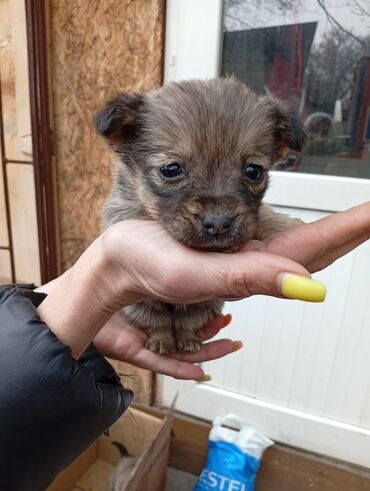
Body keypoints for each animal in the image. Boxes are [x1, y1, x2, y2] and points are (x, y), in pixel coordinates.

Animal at [94, 76, 304, 354]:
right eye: (171, 169)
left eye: (254, 171)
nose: (218, 225)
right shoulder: (123, 210)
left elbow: (265, 214)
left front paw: (285, 224)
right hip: (140, 306)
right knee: (158, 321)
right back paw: (162, 340)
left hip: (204, 305)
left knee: (186, 323)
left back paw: (187, 340)